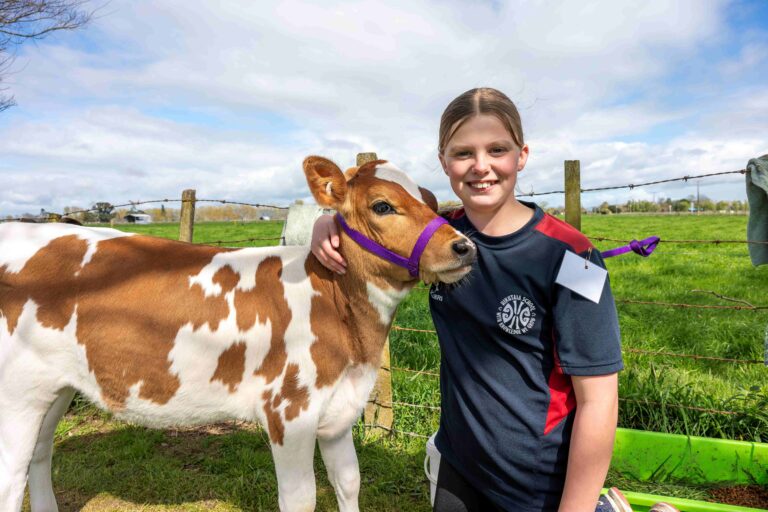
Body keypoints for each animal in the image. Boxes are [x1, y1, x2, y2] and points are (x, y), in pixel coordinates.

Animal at [0, 156, 476, 512]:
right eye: (382, 206)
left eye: (431, 200)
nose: (464, 246)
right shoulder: (289, 410)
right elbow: (301, 500)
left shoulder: (338, 412)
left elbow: (348, 483)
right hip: (16, 394)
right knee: (11, 476)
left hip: (54, 386)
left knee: (39, 453)